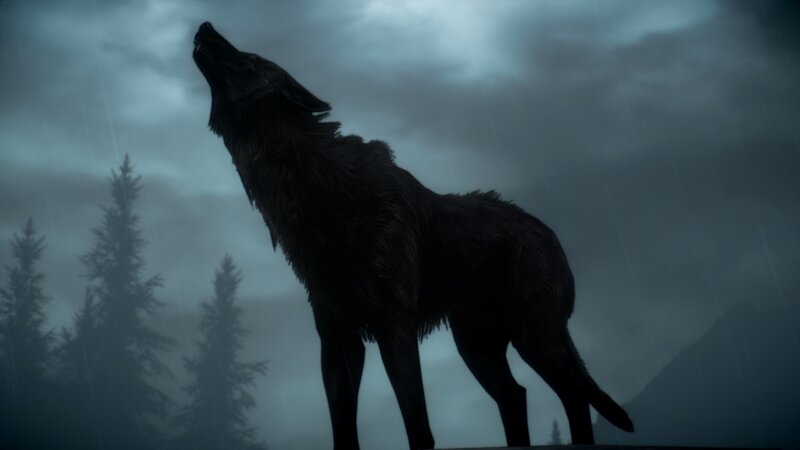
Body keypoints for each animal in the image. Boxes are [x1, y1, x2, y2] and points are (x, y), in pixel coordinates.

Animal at [193, 22, 633, 450]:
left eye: (247, 58)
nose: (205, 24)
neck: (322, 195)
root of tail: (551, 236)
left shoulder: (394, 324)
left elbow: (418, 426)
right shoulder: (337, 335)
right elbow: (343, 430)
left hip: (535, 339)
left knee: (574, 395)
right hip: (477, 347)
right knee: (516, 395)